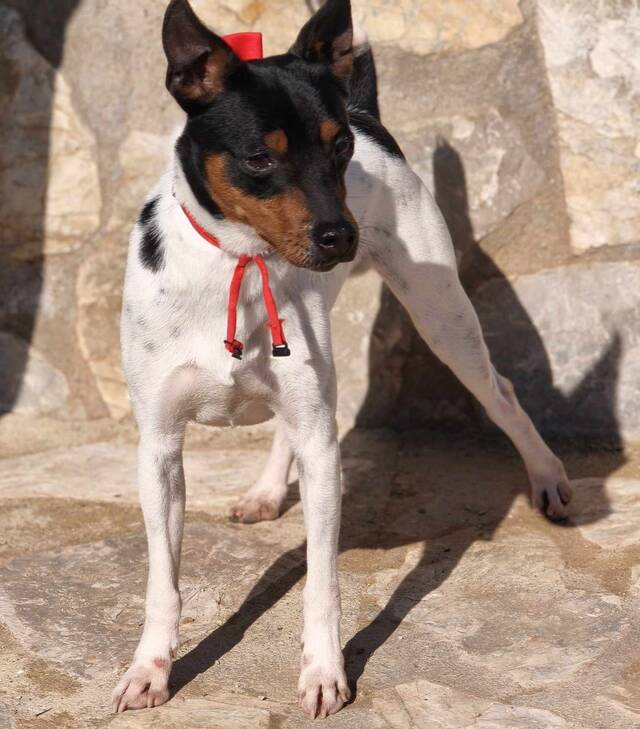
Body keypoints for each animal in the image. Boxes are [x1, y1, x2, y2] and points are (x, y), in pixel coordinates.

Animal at [112, 0, 572, 718]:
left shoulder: (324, 448)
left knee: (502, 393)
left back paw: (548, 476)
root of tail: (365, 107)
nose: (341, 236)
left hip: (444, 320)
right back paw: (267, 489)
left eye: (340, 148)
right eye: (258, 158)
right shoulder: (158, 447)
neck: (239, 264)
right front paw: (150, 669)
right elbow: (163, 581)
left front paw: (324, 672)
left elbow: (321, 582)